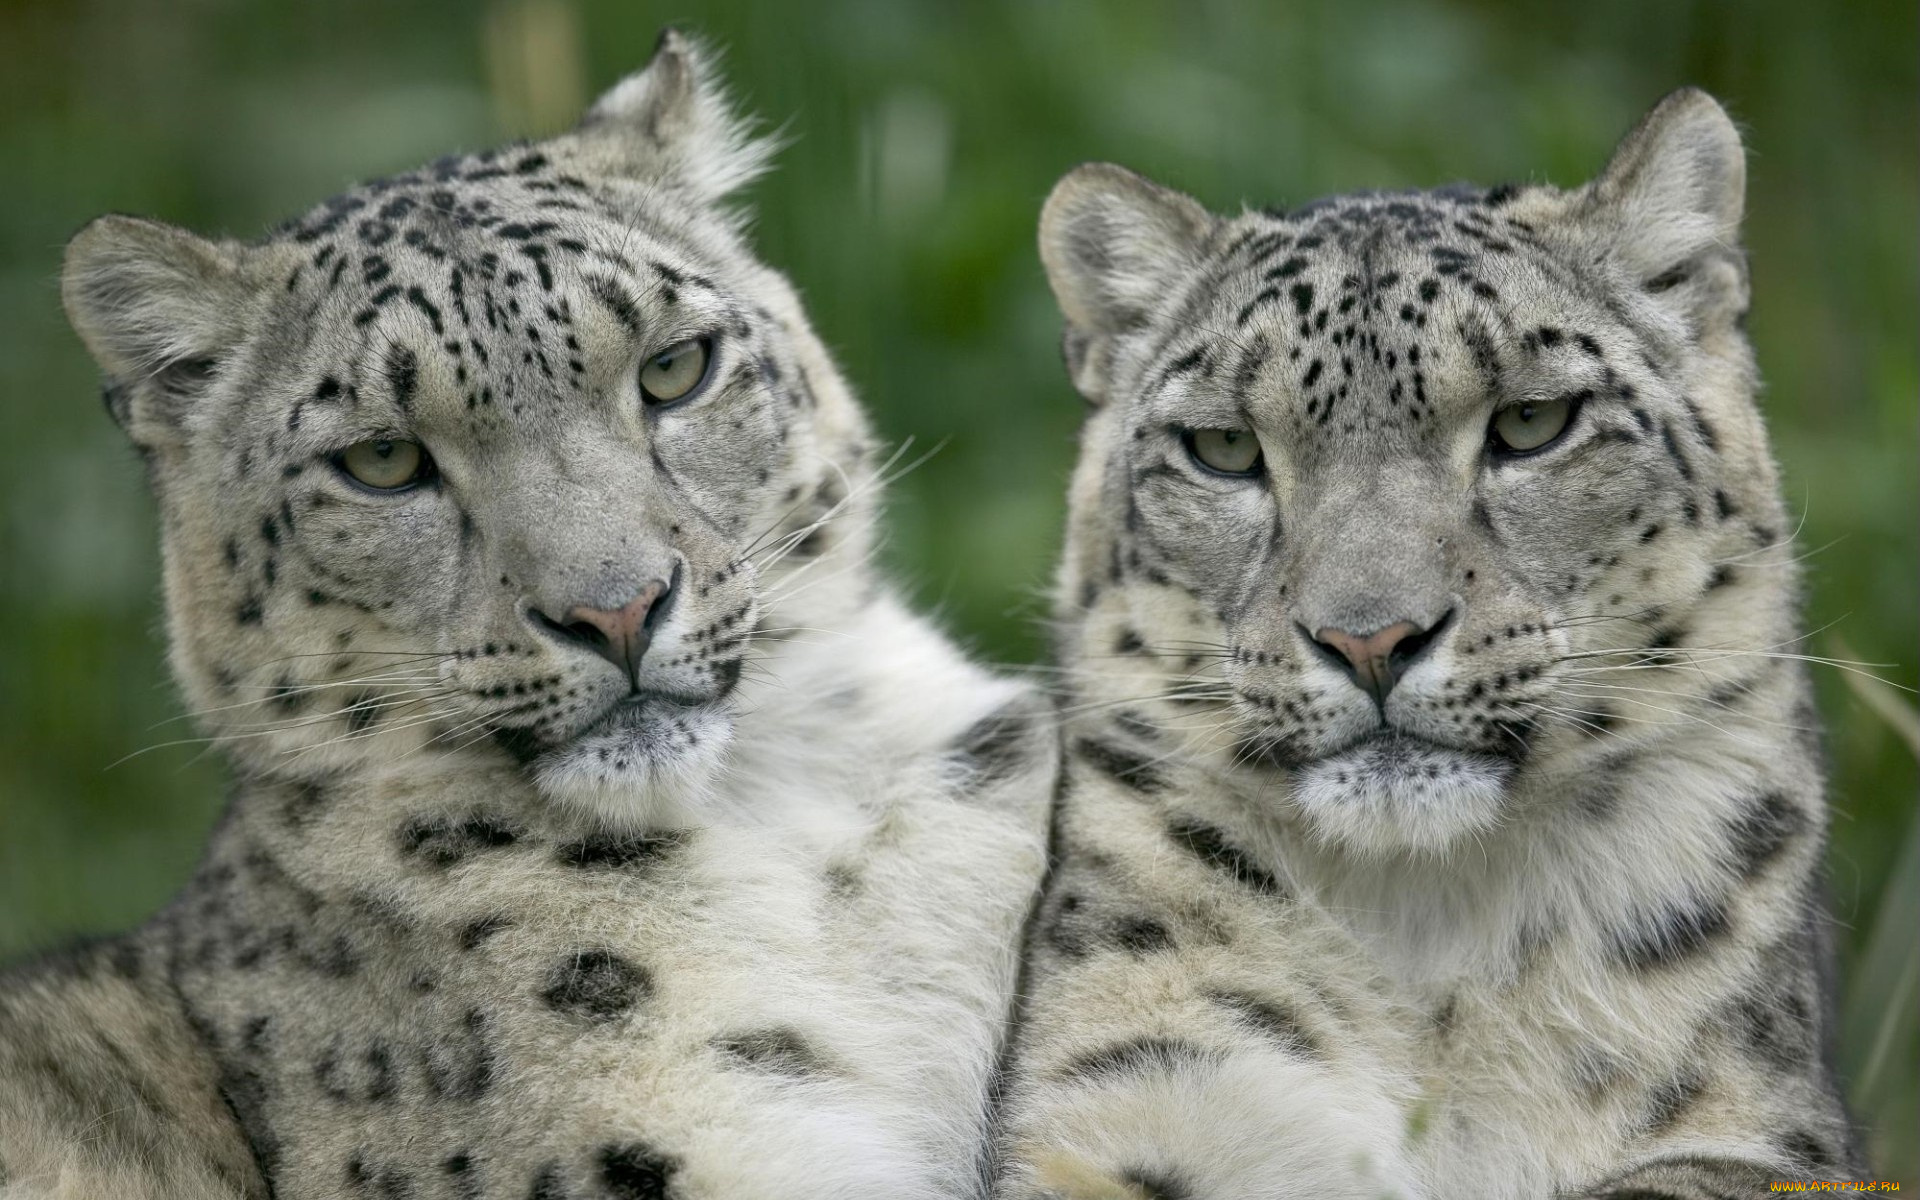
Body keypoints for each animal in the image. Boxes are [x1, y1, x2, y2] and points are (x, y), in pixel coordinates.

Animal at [990, 89, 1863, 1199]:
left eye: (1533, 420)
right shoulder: (1124, 1104)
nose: (1371, 639)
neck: (1429, 943)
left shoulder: (1755, 1135)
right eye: (1223, 447)